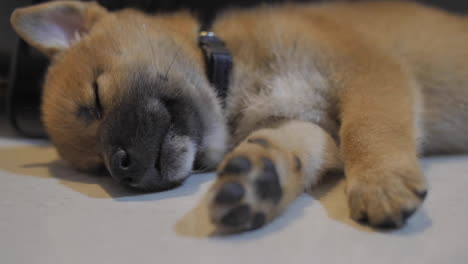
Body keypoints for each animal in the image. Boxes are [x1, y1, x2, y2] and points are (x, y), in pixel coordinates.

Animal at [10, 1, 468, 233]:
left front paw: (379, 182)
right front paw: (260, 176)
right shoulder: (306, 124)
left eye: (96, 98)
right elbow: (292, 147)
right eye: (96, 168)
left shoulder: (367, 71)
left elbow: (368, 128)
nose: (121, 167)